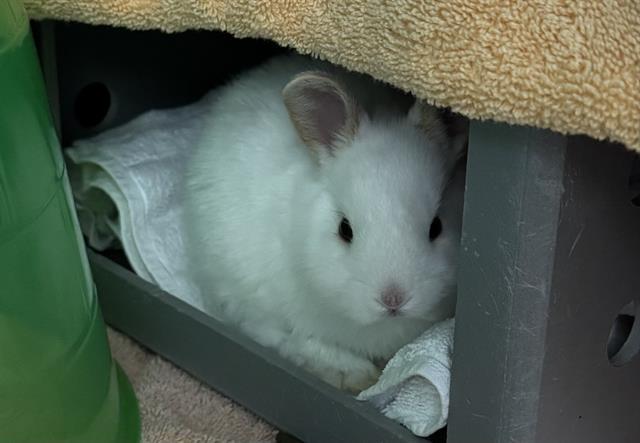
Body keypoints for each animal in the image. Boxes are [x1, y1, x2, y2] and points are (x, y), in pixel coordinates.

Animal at [183, 54, 468, 392]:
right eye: (345, 229)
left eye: (436, 227)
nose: (393, 300)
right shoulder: (264, 311)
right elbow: (300, 342)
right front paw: (355, 377)